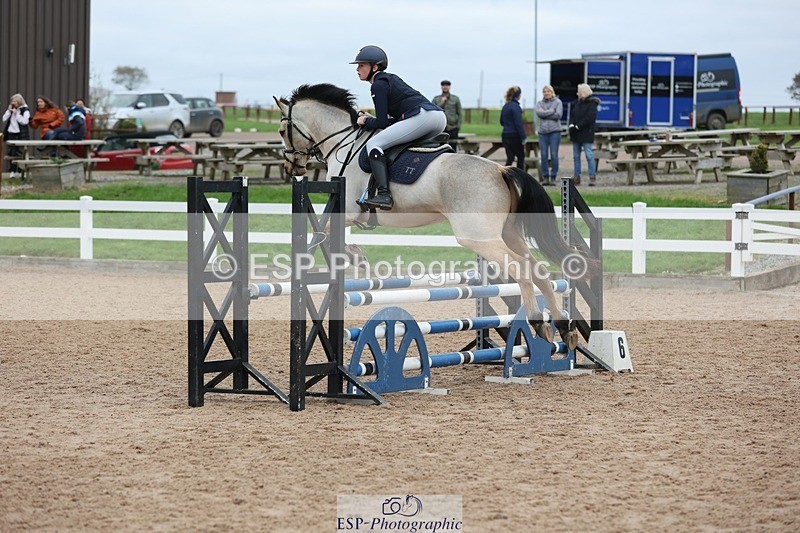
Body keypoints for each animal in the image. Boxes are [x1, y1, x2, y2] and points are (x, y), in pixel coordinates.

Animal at [274, 83, 596, 348]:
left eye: (281, 131)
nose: (291, 168)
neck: (344, 144)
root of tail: (501, 169)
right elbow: (326, 233)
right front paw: (355, 255)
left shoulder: (349, 210)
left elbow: (325, 232)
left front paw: (355, 255)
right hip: (507, 233)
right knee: (537, 269)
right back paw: (563, 327)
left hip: (478, 237)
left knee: (520, 269)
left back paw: (538, 321)